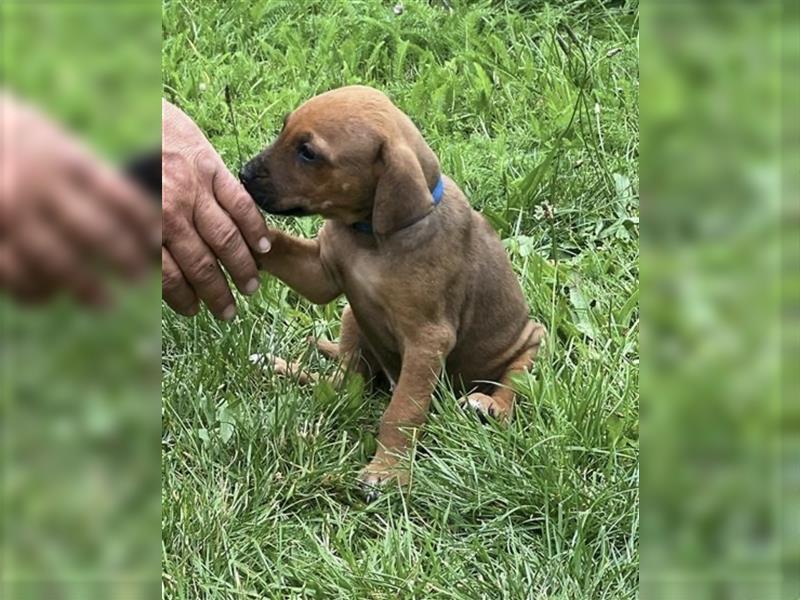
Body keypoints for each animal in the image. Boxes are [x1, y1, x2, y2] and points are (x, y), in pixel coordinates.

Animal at [241, 85, 548, 492]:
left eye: (308, 153)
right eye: (284, 129)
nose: (242, 175)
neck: (367, 236)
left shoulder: (427, 341)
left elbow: (402, 410)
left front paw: (388, 470)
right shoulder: (320, 274)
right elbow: (278, 246)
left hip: (531, 345)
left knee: (513, 386)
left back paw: (488, 406)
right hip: (351, 318)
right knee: (339, 381)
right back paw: (277, 365)